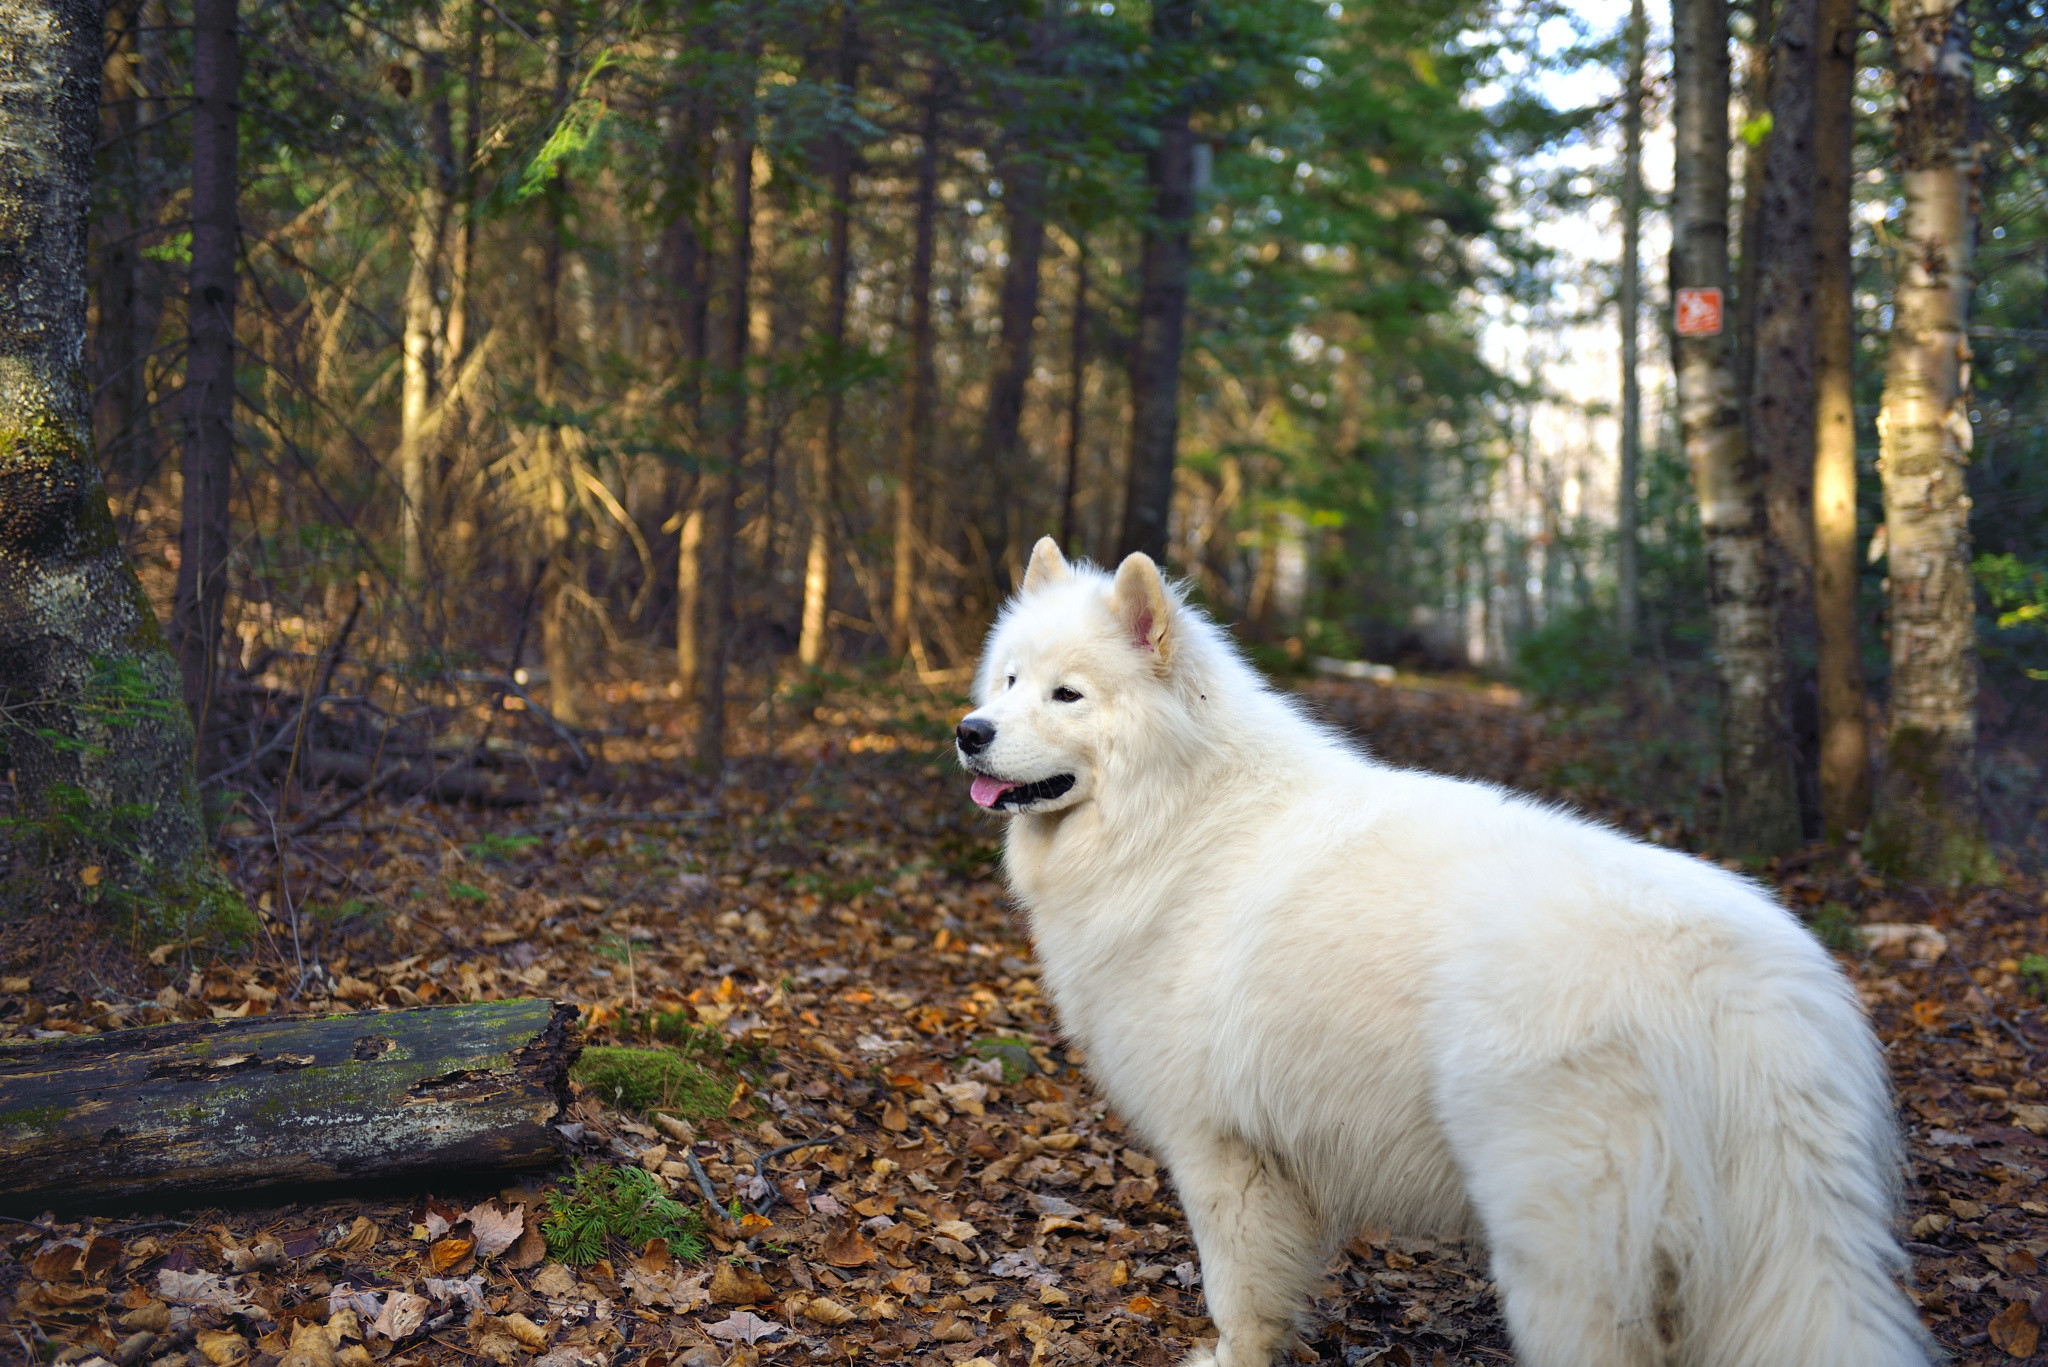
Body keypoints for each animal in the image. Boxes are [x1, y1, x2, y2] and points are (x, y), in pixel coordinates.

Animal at [950, 536, 1925, 1367]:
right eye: (1008, 678)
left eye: (1067, 694)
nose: (970, 729)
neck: (1179, 816)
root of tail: (1744, 988)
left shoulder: (1221, 1151)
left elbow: (1237, 1297)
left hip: (1562, 1245)